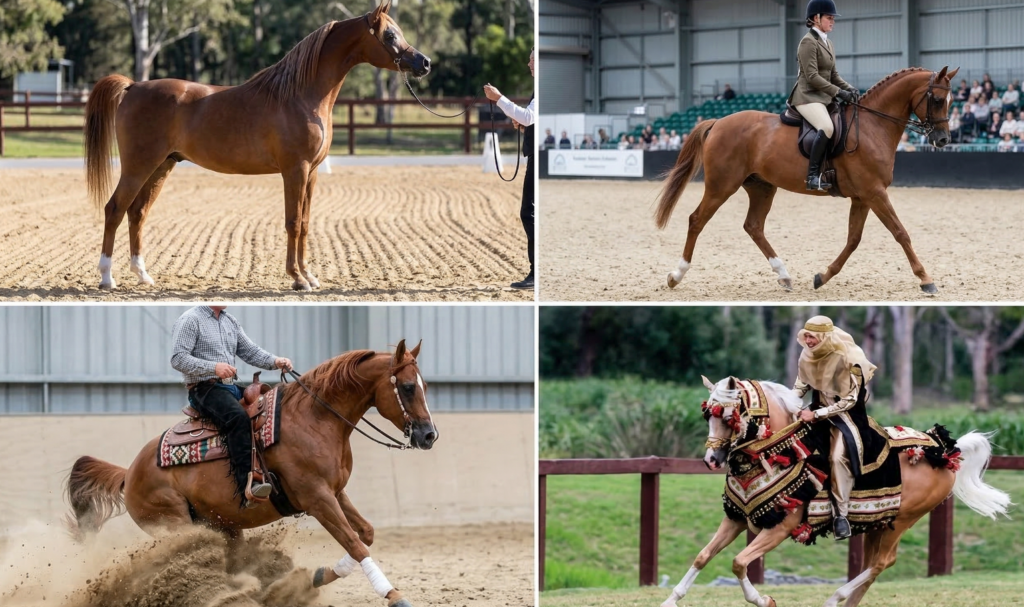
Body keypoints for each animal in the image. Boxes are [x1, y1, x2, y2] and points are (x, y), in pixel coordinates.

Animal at [65, 339, 438, 607]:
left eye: (424, 385)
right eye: (407, 387)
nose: (429, 435)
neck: (315, 419)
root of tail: (130, 472)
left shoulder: (335, 492)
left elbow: (366, 534)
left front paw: (317, 577)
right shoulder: (317, 498)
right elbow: (357, 544)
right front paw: (394, 595)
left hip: (223, 526)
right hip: (175, 524)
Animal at [85, 0, 428, 291]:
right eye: (390, 34)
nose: (424, 63)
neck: (300, 95)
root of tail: (133, 86)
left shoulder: (312, 173)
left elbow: (305, 223)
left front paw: (309, 275)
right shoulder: (295, 170)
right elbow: (292, 222)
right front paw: (297, 278)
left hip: (162, 165)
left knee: (137, 213)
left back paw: (142, 275)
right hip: (138, 166)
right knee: (114, 209)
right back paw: (107, 278)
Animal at [654, 66, 960, 295]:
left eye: (951, 101)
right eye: (936, 99)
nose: (943, 140)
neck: (873, 127)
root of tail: (717, 122)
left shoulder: (863, 197)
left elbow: (853, 240)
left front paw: (822, 276)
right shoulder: (875, 193)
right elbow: (900, 233)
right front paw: (926, 279)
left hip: (762, 187)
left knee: (753, 226)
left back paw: (784, 275)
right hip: (721, 186)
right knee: (697, 220)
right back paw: (676, 275)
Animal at [661, 375, 1011, 607]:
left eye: (728, 416)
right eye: (707, 414)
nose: (711, 459)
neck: (779, 452)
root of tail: (945, 452)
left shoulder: (779, 528)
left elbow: (738, 562)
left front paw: (764, 599)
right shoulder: (735, 519)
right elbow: (704, 555)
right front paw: (671, 600)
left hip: (902, 520)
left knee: (881, 563)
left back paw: (834, 598)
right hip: (878, 524)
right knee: (874, 565)